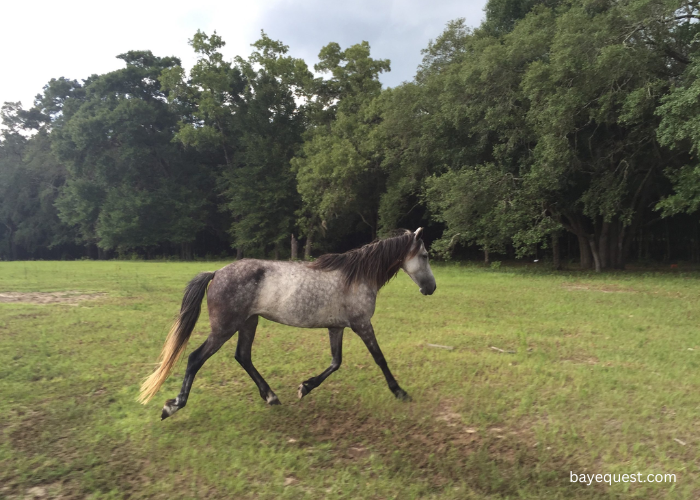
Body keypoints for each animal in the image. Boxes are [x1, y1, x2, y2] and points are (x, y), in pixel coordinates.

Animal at [140, 229, 438, 420]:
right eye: (424, 255)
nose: (431, 288)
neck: (357, 276)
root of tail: (216, 273)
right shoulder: (362, 324)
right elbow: (379, 358)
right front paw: (400, 392)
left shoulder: (337, 327)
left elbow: (336, 362)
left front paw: (305, 387)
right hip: (224, 328)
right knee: (195, 358)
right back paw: (173, 406)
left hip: (248, 323)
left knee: (243, 356)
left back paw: (271, 396)